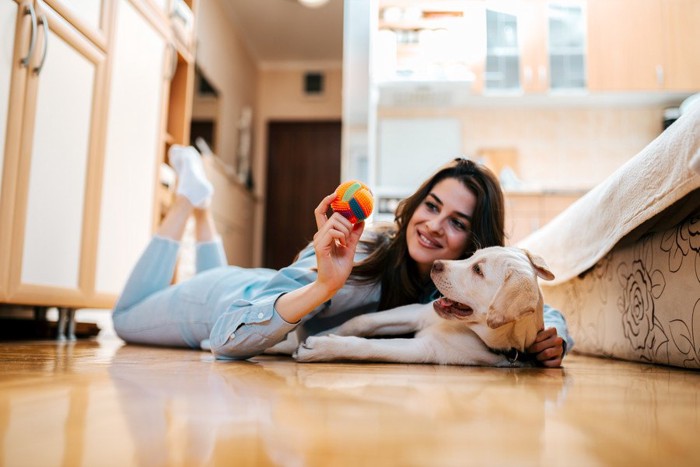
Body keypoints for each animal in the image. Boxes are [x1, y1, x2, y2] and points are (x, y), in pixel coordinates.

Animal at [292, 247, 556, 368]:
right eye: (473, 255)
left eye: (478, 270)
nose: (436, 264)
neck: (469, 329)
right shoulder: (416, 312)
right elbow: (360, 321)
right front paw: (318, 334)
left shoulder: (428, 349)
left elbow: (368, 346)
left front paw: (321, 346)